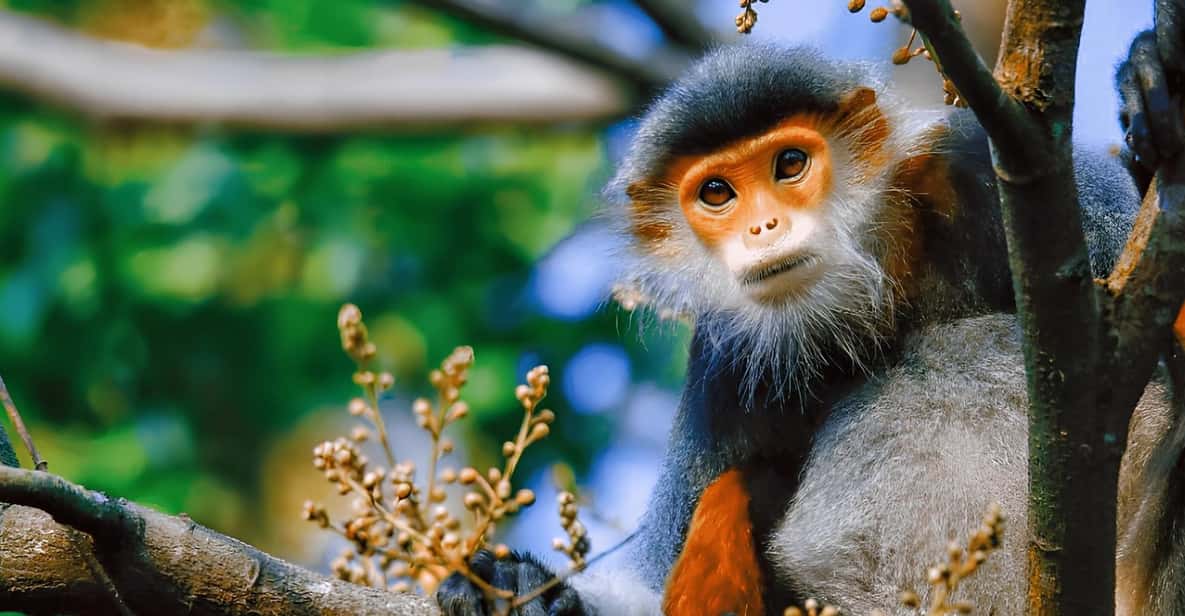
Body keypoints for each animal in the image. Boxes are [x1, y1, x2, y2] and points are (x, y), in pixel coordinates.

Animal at [436, 29, 1185, 616]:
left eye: (789, 164)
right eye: (717, 193)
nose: (764, 227)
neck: (877, 283)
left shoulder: (985, 164)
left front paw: (1152, 87)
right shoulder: (725, 357)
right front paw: (517, 585)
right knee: (732, 487)